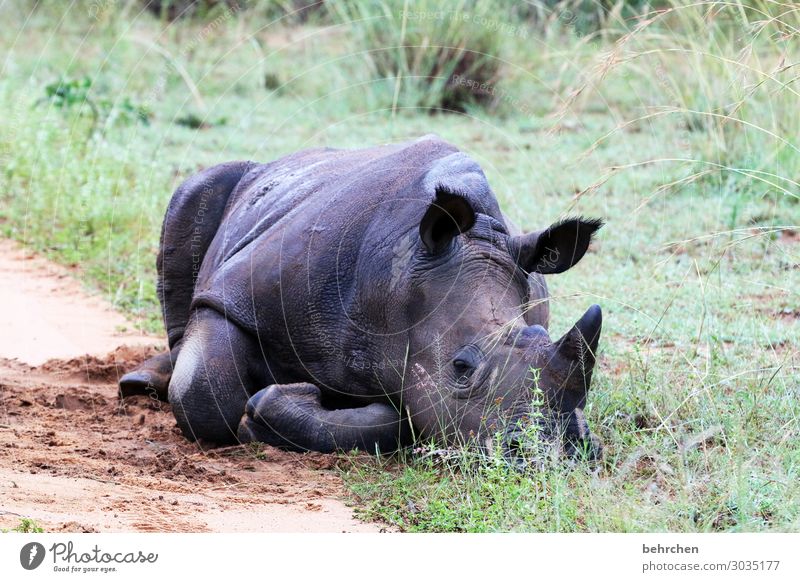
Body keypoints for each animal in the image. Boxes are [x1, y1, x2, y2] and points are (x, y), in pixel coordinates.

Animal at [119, 136, 604, 460]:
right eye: (461, 367)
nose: (546, 453)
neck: (399, 281)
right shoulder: (233, 295)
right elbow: (204, 393)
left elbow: (409, 415)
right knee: (193, 197)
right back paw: (144, 383)